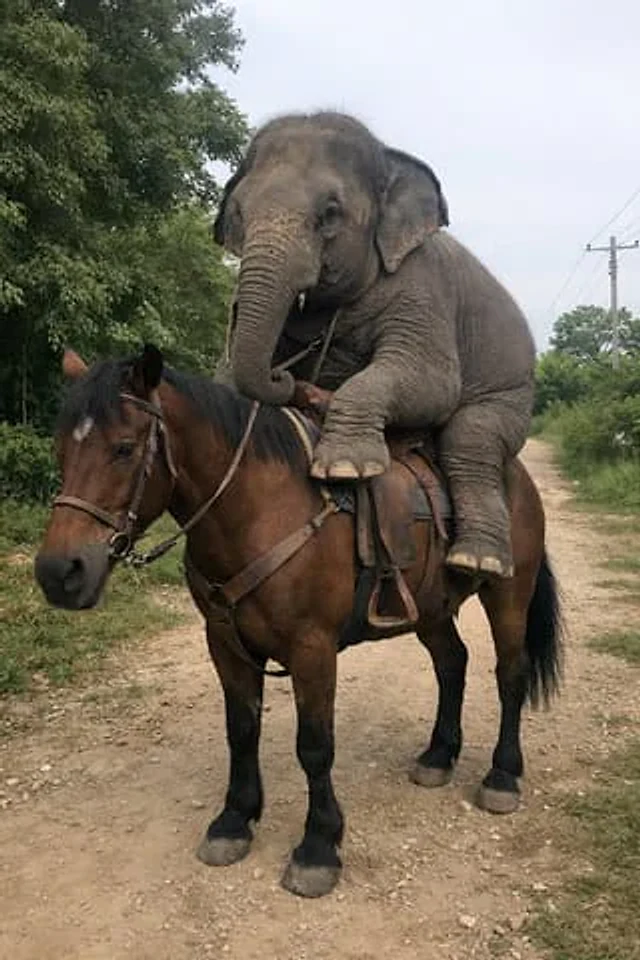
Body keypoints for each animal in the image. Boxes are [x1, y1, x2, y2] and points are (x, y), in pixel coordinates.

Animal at [35, 343, 563, 899]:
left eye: (124, 448)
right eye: (60, 450)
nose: (59, 572)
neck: (260, 510)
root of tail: (517, 476)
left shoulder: (313, 649)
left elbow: (314, 747)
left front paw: (318, 847)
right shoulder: (225, 644)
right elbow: (242, 730)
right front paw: (233, 821)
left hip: (509, 595)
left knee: (510, 675)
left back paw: (502, 776)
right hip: (431, 607)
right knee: (452, 664)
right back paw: (438, 756)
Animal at [212, 111, 536, 579]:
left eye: (330, 213)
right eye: (238, 212)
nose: (284, 374)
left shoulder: (423, 290)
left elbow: (434, 384)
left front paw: (345, 468)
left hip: (513, 394)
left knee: (470, 440)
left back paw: (478, 560)